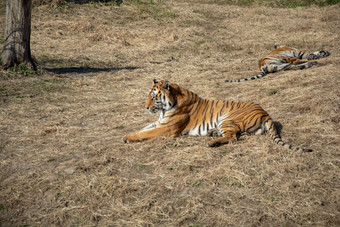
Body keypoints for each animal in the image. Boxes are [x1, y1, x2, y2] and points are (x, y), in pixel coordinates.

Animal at [123, 79, 312, 152]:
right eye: (149, 96)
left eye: (154, 97)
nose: (146, 107)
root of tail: (266, 113)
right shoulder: (160, 122)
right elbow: (143, 129)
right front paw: (127, 135)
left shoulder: (167, 128)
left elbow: (146, 133)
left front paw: (127, 138)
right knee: (237, 134)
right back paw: (212, 133)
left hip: (227, 118)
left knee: (233, 137)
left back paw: (211, 142)